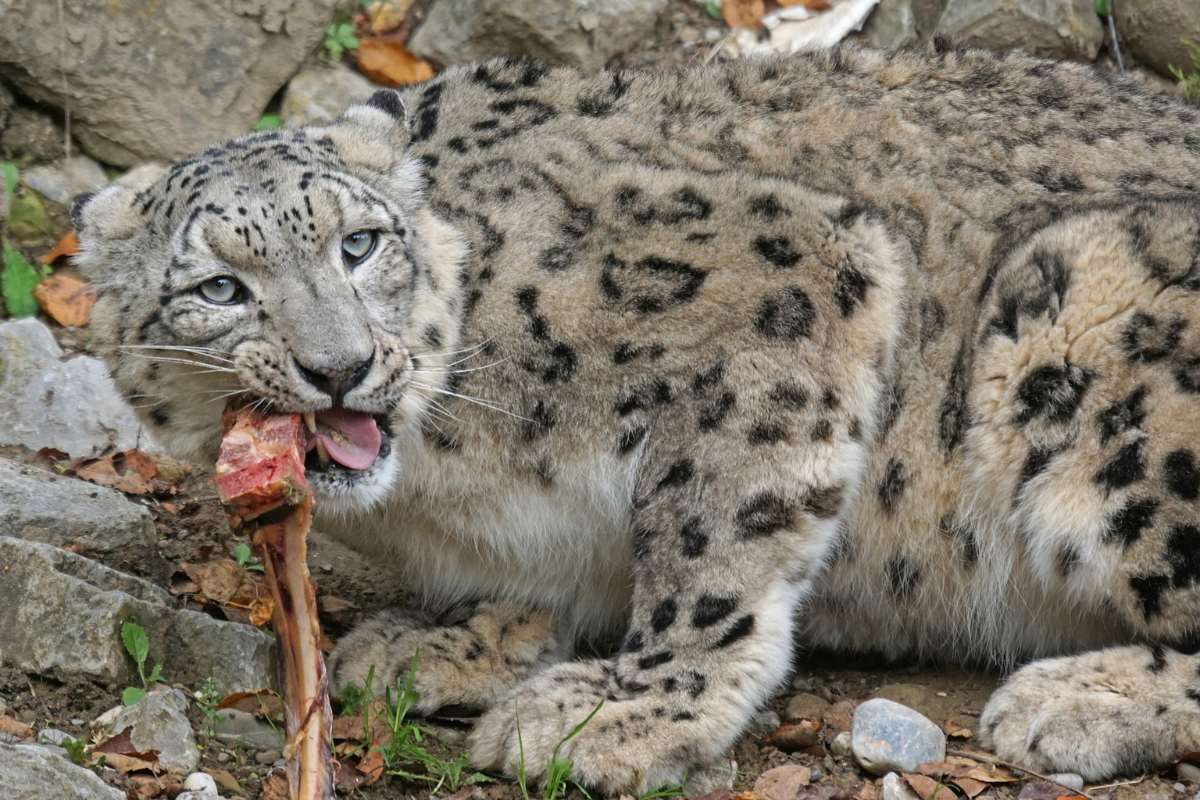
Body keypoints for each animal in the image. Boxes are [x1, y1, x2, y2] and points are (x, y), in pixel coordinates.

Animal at [72, 43, 1200, 796]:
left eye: (359, 243)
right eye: (221, 288)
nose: (341, 366)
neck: (438, 482)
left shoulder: (789, 270)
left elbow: (709, 533)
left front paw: (627, 708)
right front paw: (448, 637)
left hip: (1087, 315)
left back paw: (1072, 699)